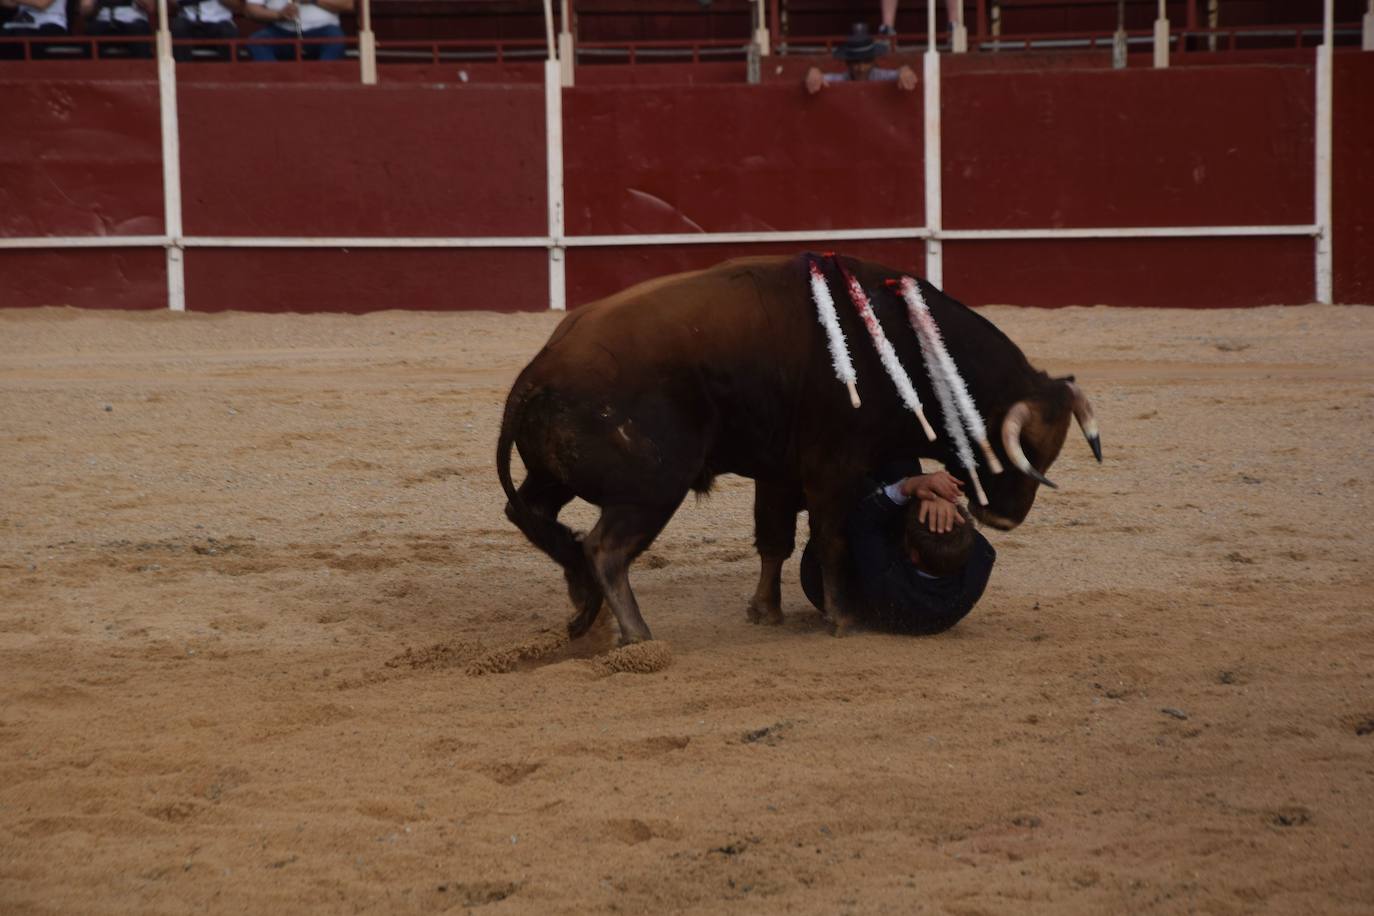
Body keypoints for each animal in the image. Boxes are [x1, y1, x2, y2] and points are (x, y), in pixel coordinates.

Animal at [500, 254, 1099, 645]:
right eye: (1027, 447)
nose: (1005, 520)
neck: (906, 353)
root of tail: (536, 372)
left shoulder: (780, 471)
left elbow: (774, 539)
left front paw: (765, 611)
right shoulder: (833, 469)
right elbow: (830, 540)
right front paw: (843, 619)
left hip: (556, 477)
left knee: (533, 516)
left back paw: (586, 609)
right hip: (652, 491)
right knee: (605, 548)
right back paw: (636, 633)